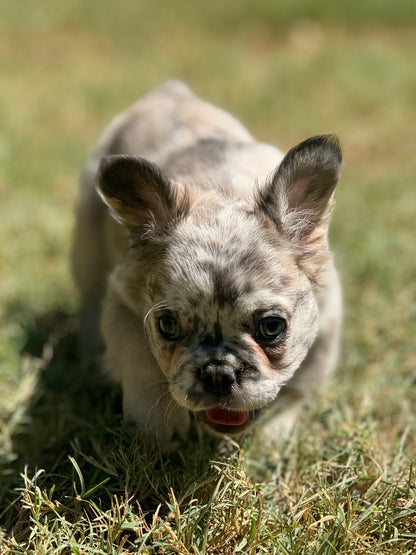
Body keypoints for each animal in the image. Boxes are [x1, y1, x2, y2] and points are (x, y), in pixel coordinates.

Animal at [71, 79, 342, 452]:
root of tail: (169, 92)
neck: (223, 191)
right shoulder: (122, 302)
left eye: (272, 327)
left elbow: (301, 387)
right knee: (89, 295)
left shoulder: (327, 322)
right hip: (88, 241)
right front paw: (158, 426)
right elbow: (139, 359)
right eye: (167, 325)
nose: (218, 372)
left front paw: (275, 434)